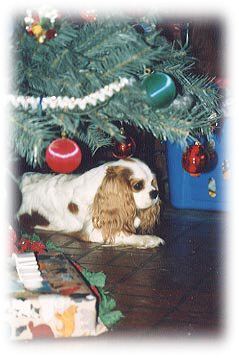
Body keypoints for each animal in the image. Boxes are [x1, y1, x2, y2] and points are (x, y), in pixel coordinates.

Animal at [17, 159, 165, 249]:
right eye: (138, 186)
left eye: (152, 182)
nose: (155, 193)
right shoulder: (94, 232)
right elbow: (127, 236)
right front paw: (150, 239)